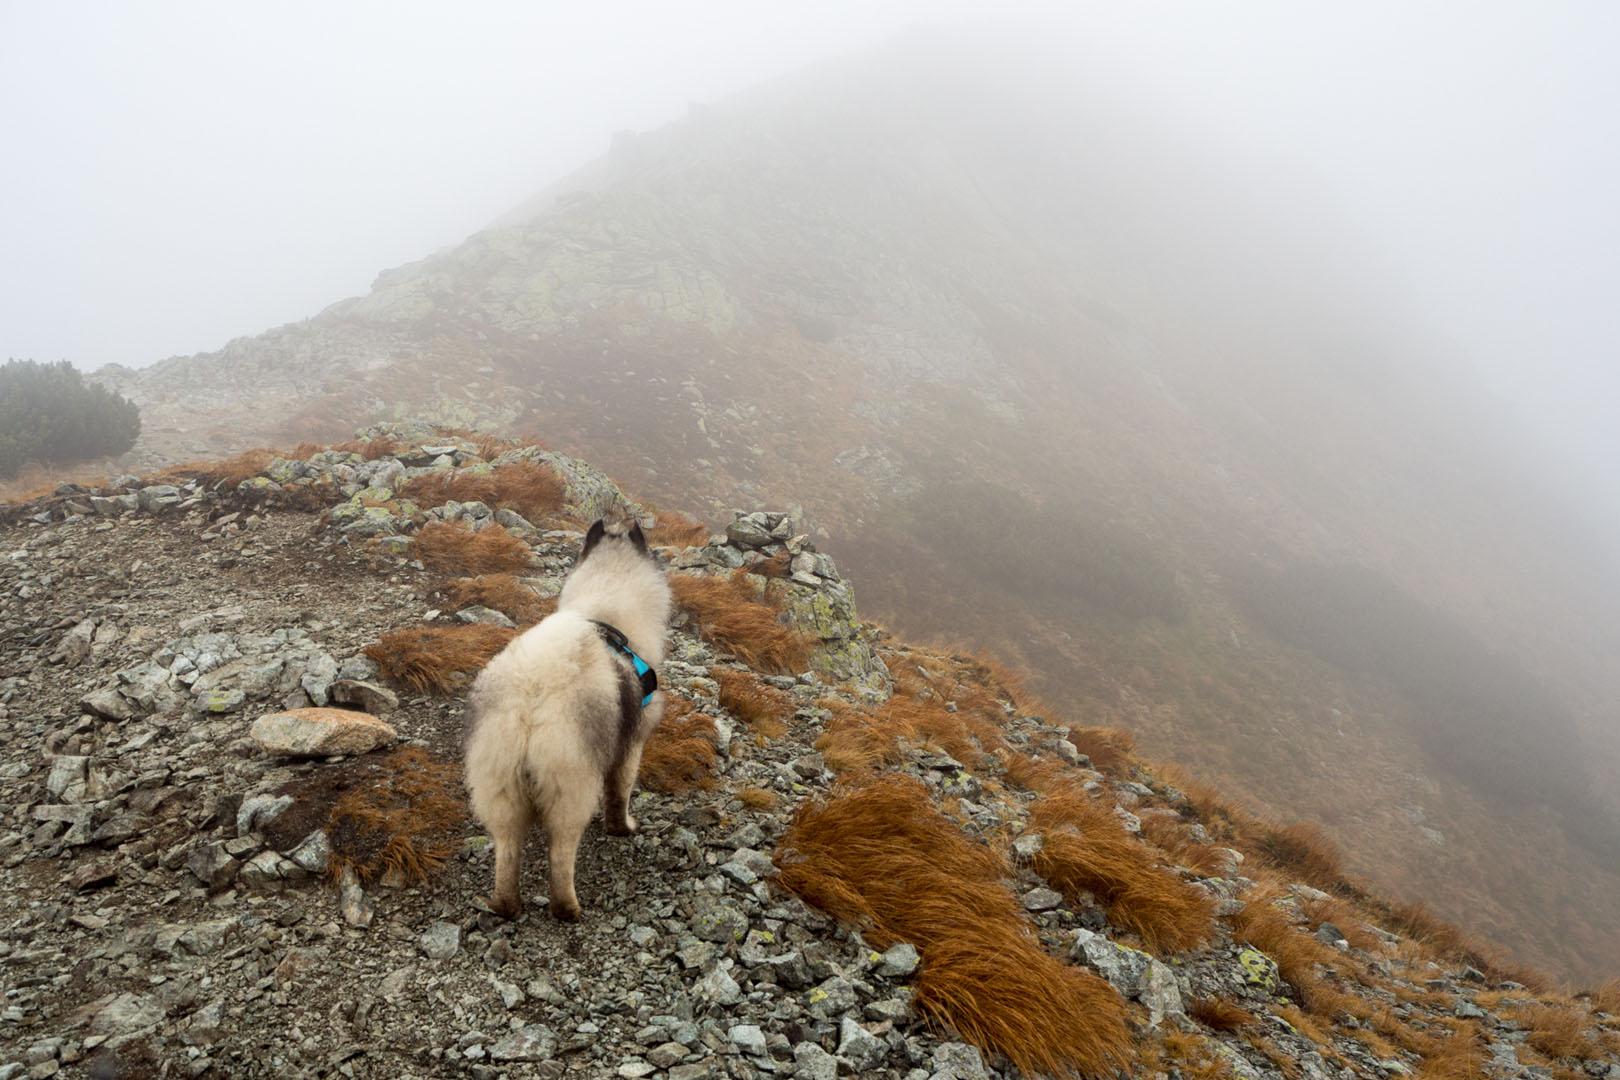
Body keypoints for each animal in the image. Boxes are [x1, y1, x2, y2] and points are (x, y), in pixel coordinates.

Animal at [463, 521, 670, 919]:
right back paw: (567, 908)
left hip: (499, 788)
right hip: (570, 788)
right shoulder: (631, 746)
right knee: (561, 854)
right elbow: (620, 794)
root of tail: (530, 704)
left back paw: (507, 905)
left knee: (507, 852)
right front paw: (623, 828)